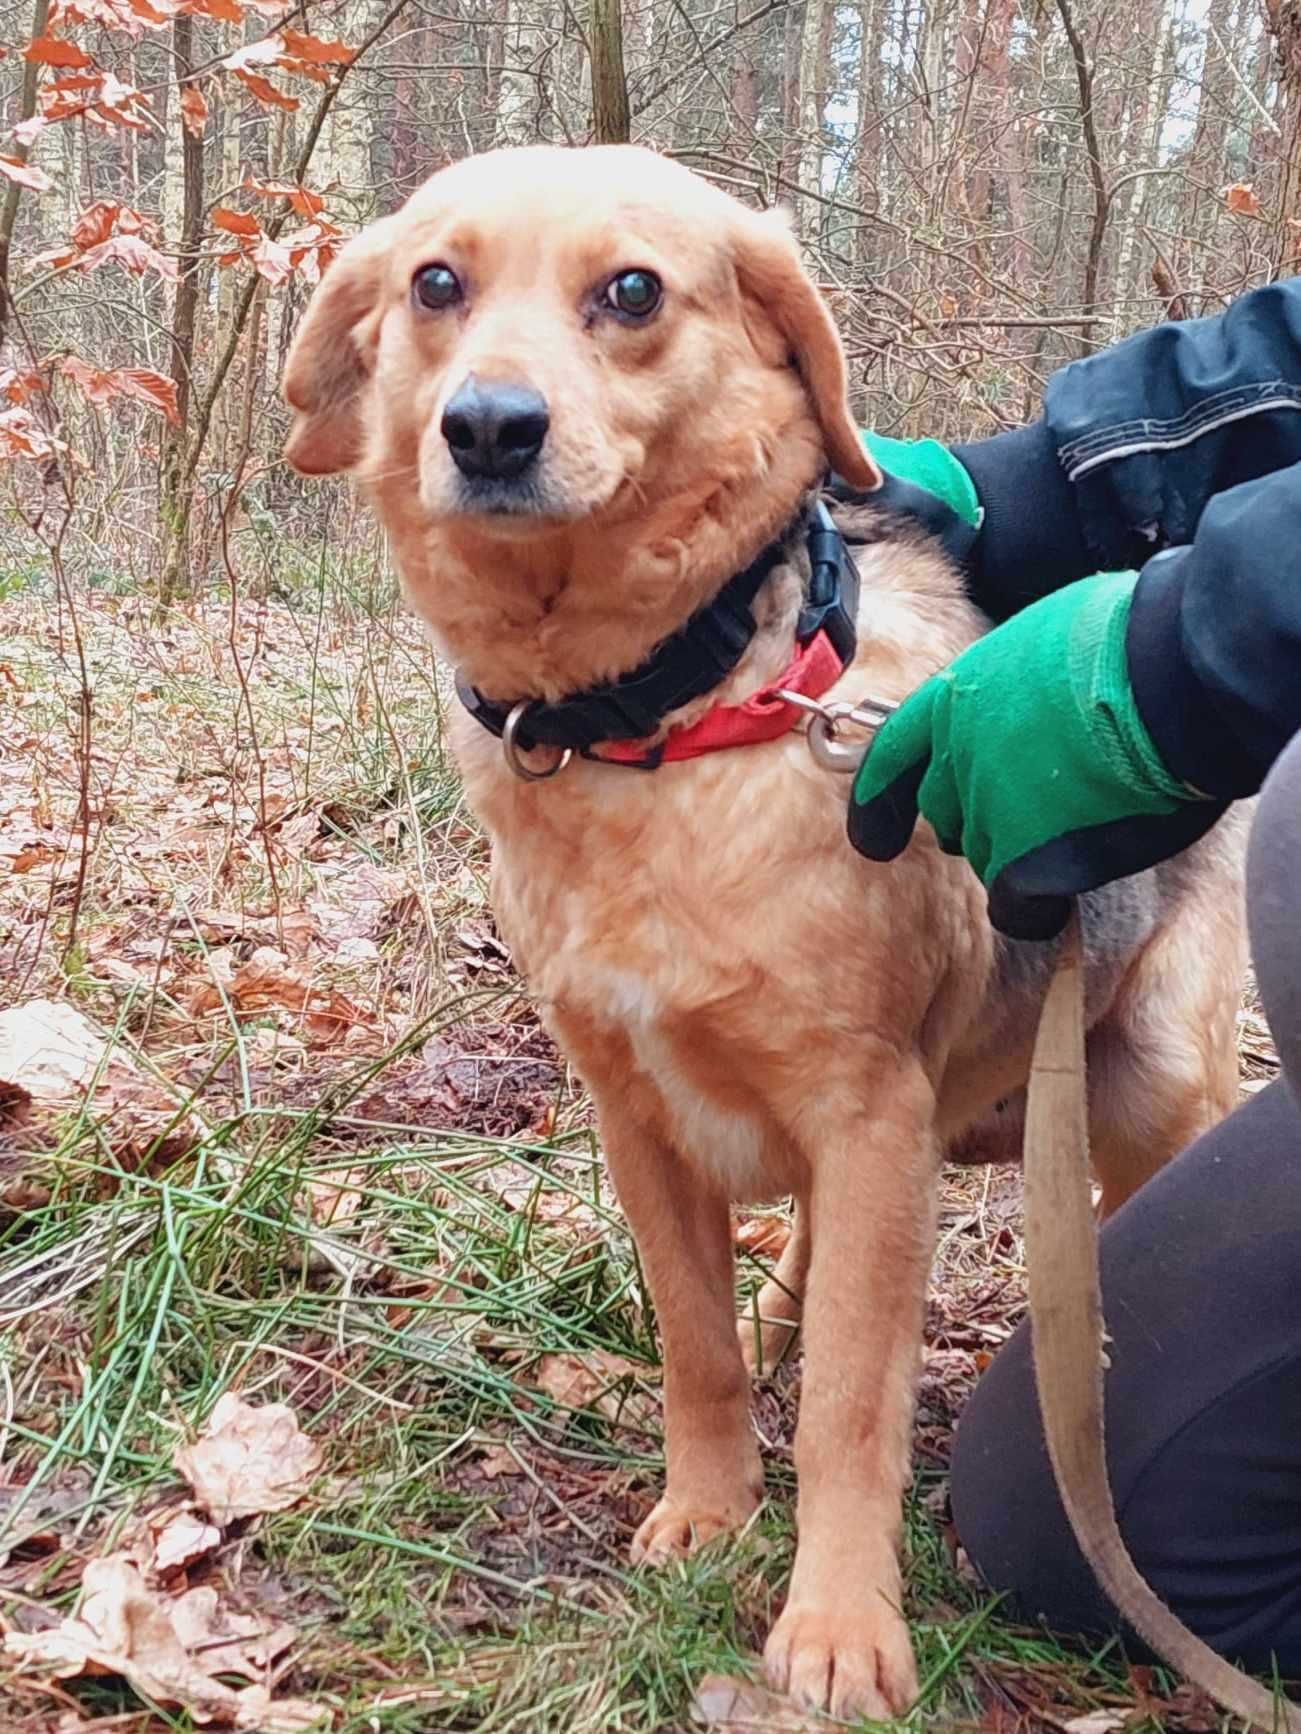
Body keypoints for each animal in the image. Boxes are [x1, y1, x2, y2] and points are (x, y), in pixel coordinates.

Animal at [281, 149, 1248, 1720]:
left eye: (630, 291)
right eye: (434, 283)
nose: (485, 428)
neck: (664, 725)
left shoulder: (866, 1111)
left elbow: (853, 1407)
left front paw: (840, 1623)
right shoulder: (642, 1119)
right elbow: (695, 1343)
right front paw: (711, 1509)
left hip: (1150, 1080)